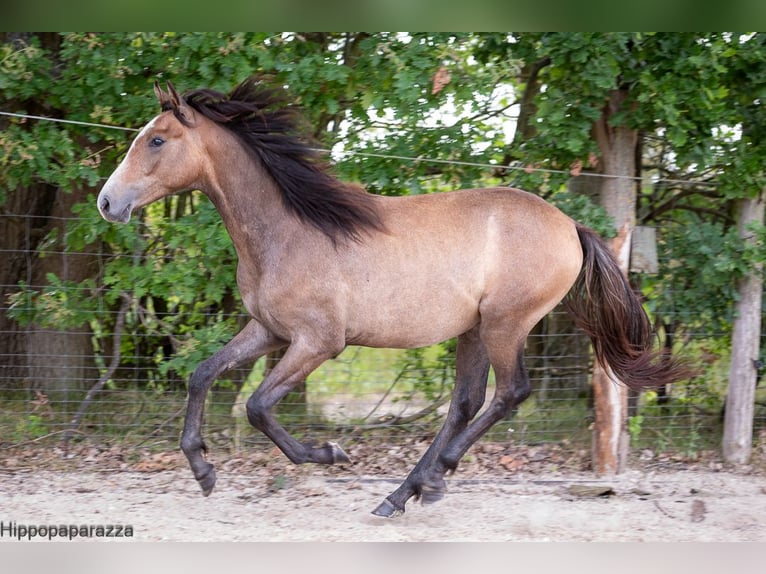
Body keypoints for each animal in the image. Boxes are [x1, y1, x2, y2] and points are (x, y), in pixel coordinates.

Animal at [97, 75, 688, 516]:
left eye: (156, 140)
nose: (107, 202)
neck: (286, 231)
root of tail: (571, 226)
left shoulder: (318, 342)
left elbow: (258, 406)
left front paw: (329, 453)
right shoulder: (269, 331)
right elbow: (202, 375)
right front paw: (203, 471)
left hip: (506, 323)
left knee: (509, 393)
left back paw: (429, 480)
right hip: (474, 329)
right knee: (467, 402)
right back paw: (407, 491)